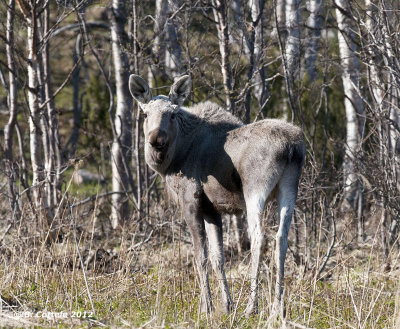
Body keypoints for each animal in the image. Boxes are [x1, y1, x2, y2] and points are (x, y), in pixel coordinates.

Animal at [130, 74, 304, 316]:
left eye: (172, 113)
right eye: (145, 113)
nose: (156, 139)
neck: (173, 159)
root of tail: (291, 148)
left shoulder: (191, 200)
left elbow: (200, 256)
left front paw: (206, 307)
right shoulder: (212, 209)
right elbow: (217, 258)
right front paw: (226, 304)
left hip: (255, 189)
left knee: (259, 237)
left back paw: (252, 307)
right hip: (289, 188)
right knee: (281, 238)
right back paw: (279, 307)